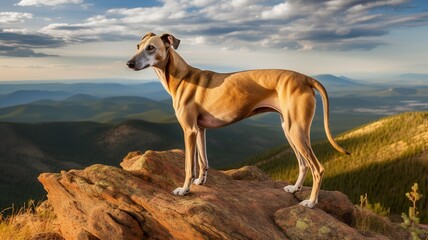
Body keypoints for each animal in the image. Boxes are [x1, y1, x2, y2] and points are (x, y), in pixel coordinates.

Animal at [126, 32, 348, 207]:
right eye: (137, 46)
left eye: (151, 48)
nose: (129, 63)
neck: (182, 76)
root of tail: (306, 78)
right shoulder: (200, 130)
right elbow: (203, 160)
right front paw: (201, 181)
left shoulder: (189, 130)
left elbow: (189, 165)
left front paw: (185, 189)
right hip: (289, 129)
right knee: (303, 164)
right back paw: (295, 188)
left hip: (297, 131)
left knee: (318, 168)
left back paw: (311, 202)